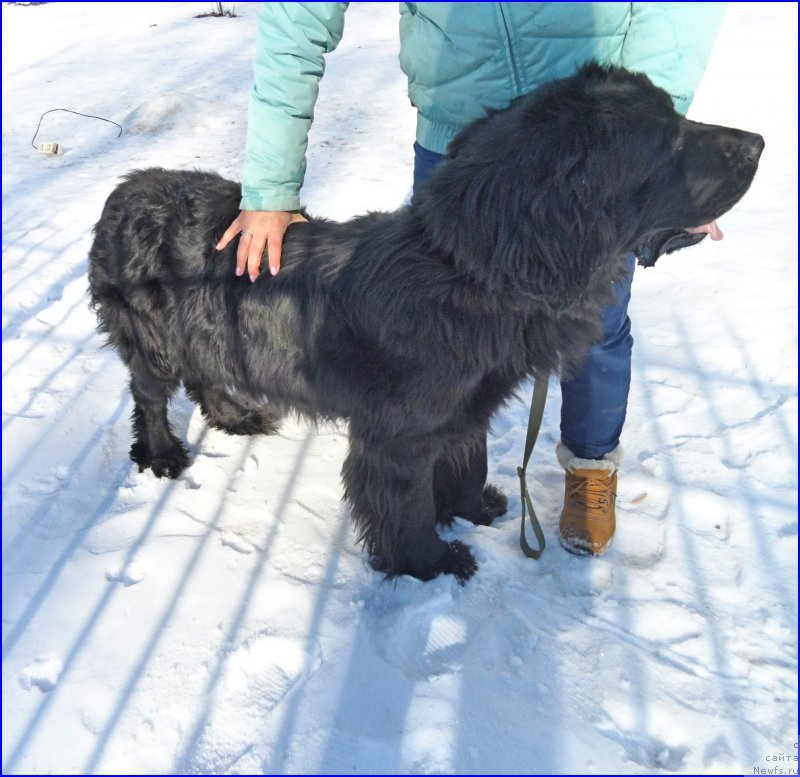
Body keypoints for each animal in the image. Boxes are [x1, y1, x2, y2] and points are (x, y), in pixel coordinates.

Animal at [87, 63, 764, 580]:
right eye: (669, 140)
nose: (759, 142)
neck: (471, 271)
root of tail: (124, 188)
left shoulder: (466, 407)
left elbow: (467, 459)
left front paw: (474, 508)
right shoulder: (399, 435)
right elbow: (405, 504)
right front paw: (431, 561)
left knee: (205, 374)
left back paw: (236, 417)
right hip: (153, 340)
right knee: (150, 395)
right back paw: (163, 454)